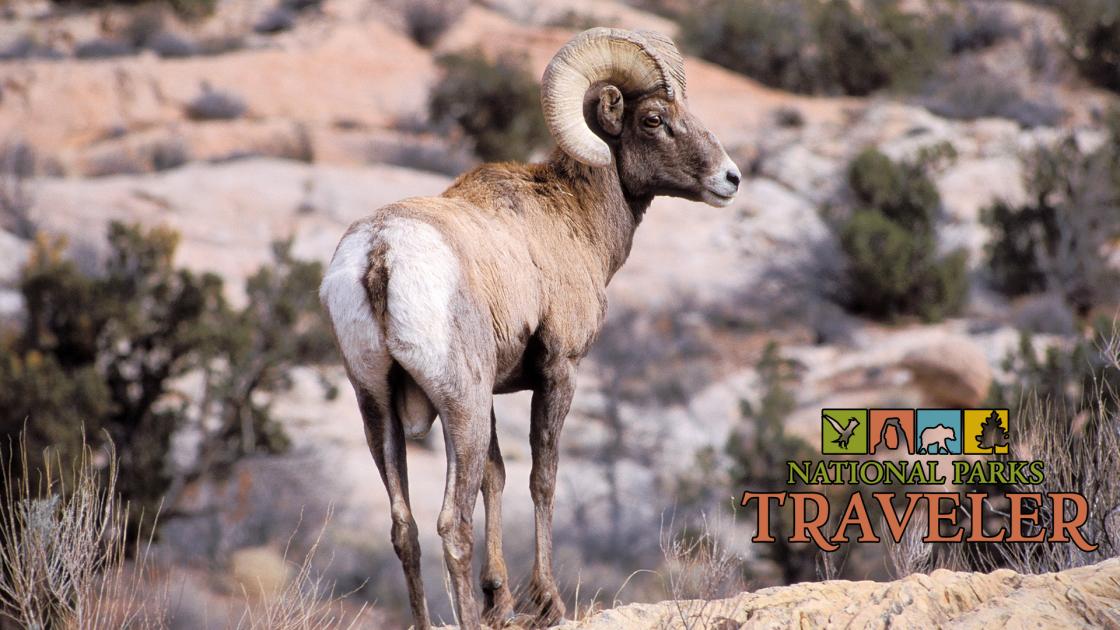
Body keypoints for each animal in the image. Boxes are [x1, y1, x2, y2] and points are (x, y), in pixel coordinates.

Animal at [320, 26, 739, 623]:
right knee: (452, 525)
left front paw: (501, 600)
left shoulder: (494, 392)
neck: (571, 219)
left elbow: (496, 479)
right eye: (654, 118)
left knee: (405, 528)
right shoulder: (558, 371)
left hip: (375, 406)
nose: (730, 179)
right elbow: (543, 478)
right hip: (461, 405)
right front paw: (548, 602)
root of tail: (380, 253)